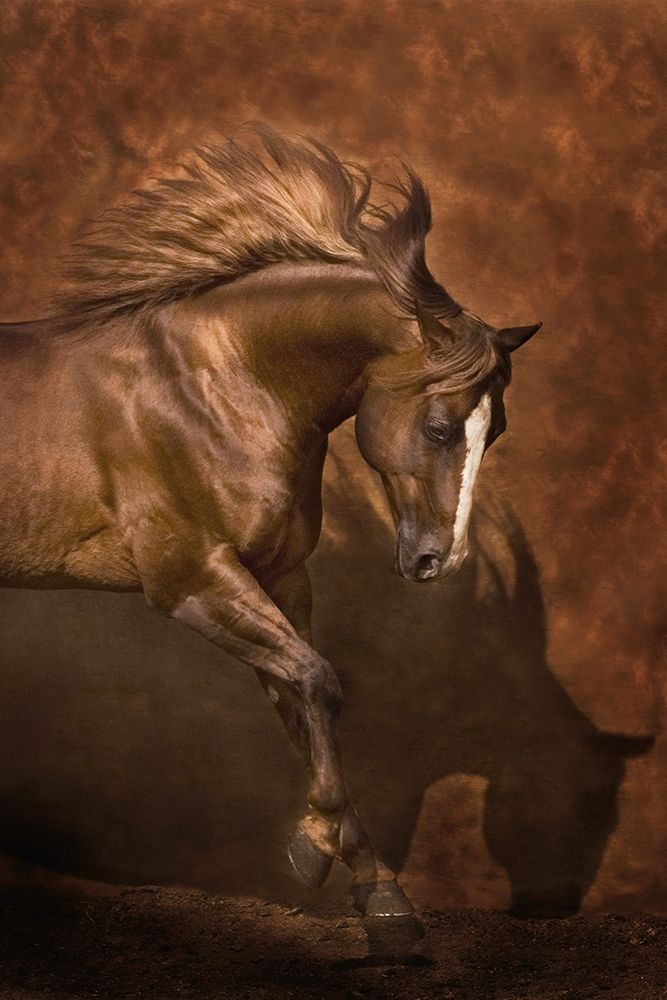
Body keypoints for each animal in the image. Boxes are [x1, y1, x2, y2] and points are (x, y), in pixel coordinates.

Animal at [0, 125, 541, 953]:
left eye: (498, 430)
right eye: (440, 427)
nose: (436, 560)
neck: (216, 383)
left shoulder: (280, 577)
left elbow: (303, 705)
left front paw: (380, 895)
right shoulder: (193, 579)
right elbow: (317, 680)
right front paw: (311, 849)